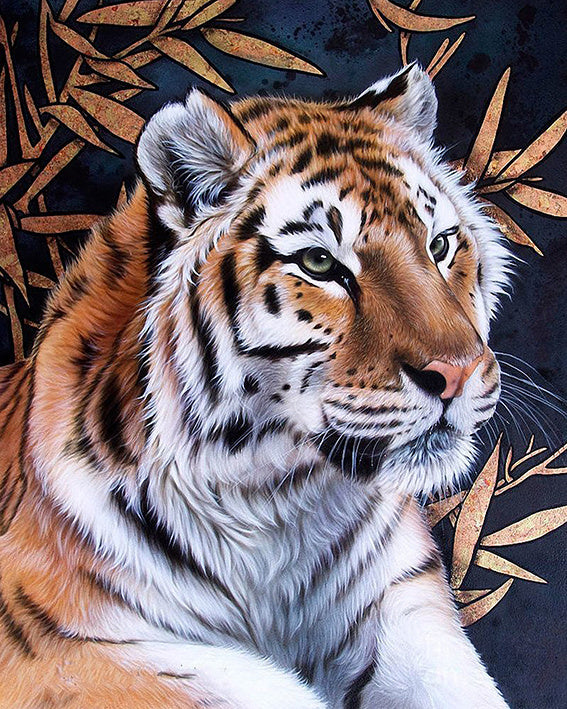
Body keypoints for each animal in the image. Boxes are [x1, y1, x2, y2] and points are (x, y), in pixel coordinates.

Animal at [0, 63, 510, 708]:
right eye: (319, 264)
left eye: (439, 245)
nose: (460, 372)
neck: (274, 504)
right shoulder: (63, 646)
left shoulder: (402, 601)